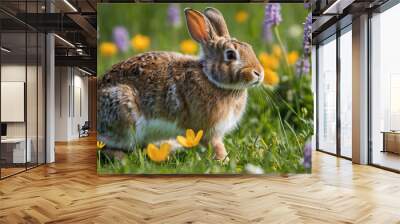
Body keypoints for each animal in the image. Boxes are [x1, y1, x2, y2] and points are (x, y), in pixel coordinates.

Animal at [98, 7, 264, 159]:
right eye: (230, 55)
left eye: (249, 47)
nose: (259, 73)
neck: (210, 78)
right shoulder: (208, 131)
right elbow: (216, 146)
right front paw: (224, 160)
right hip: (123, 113)